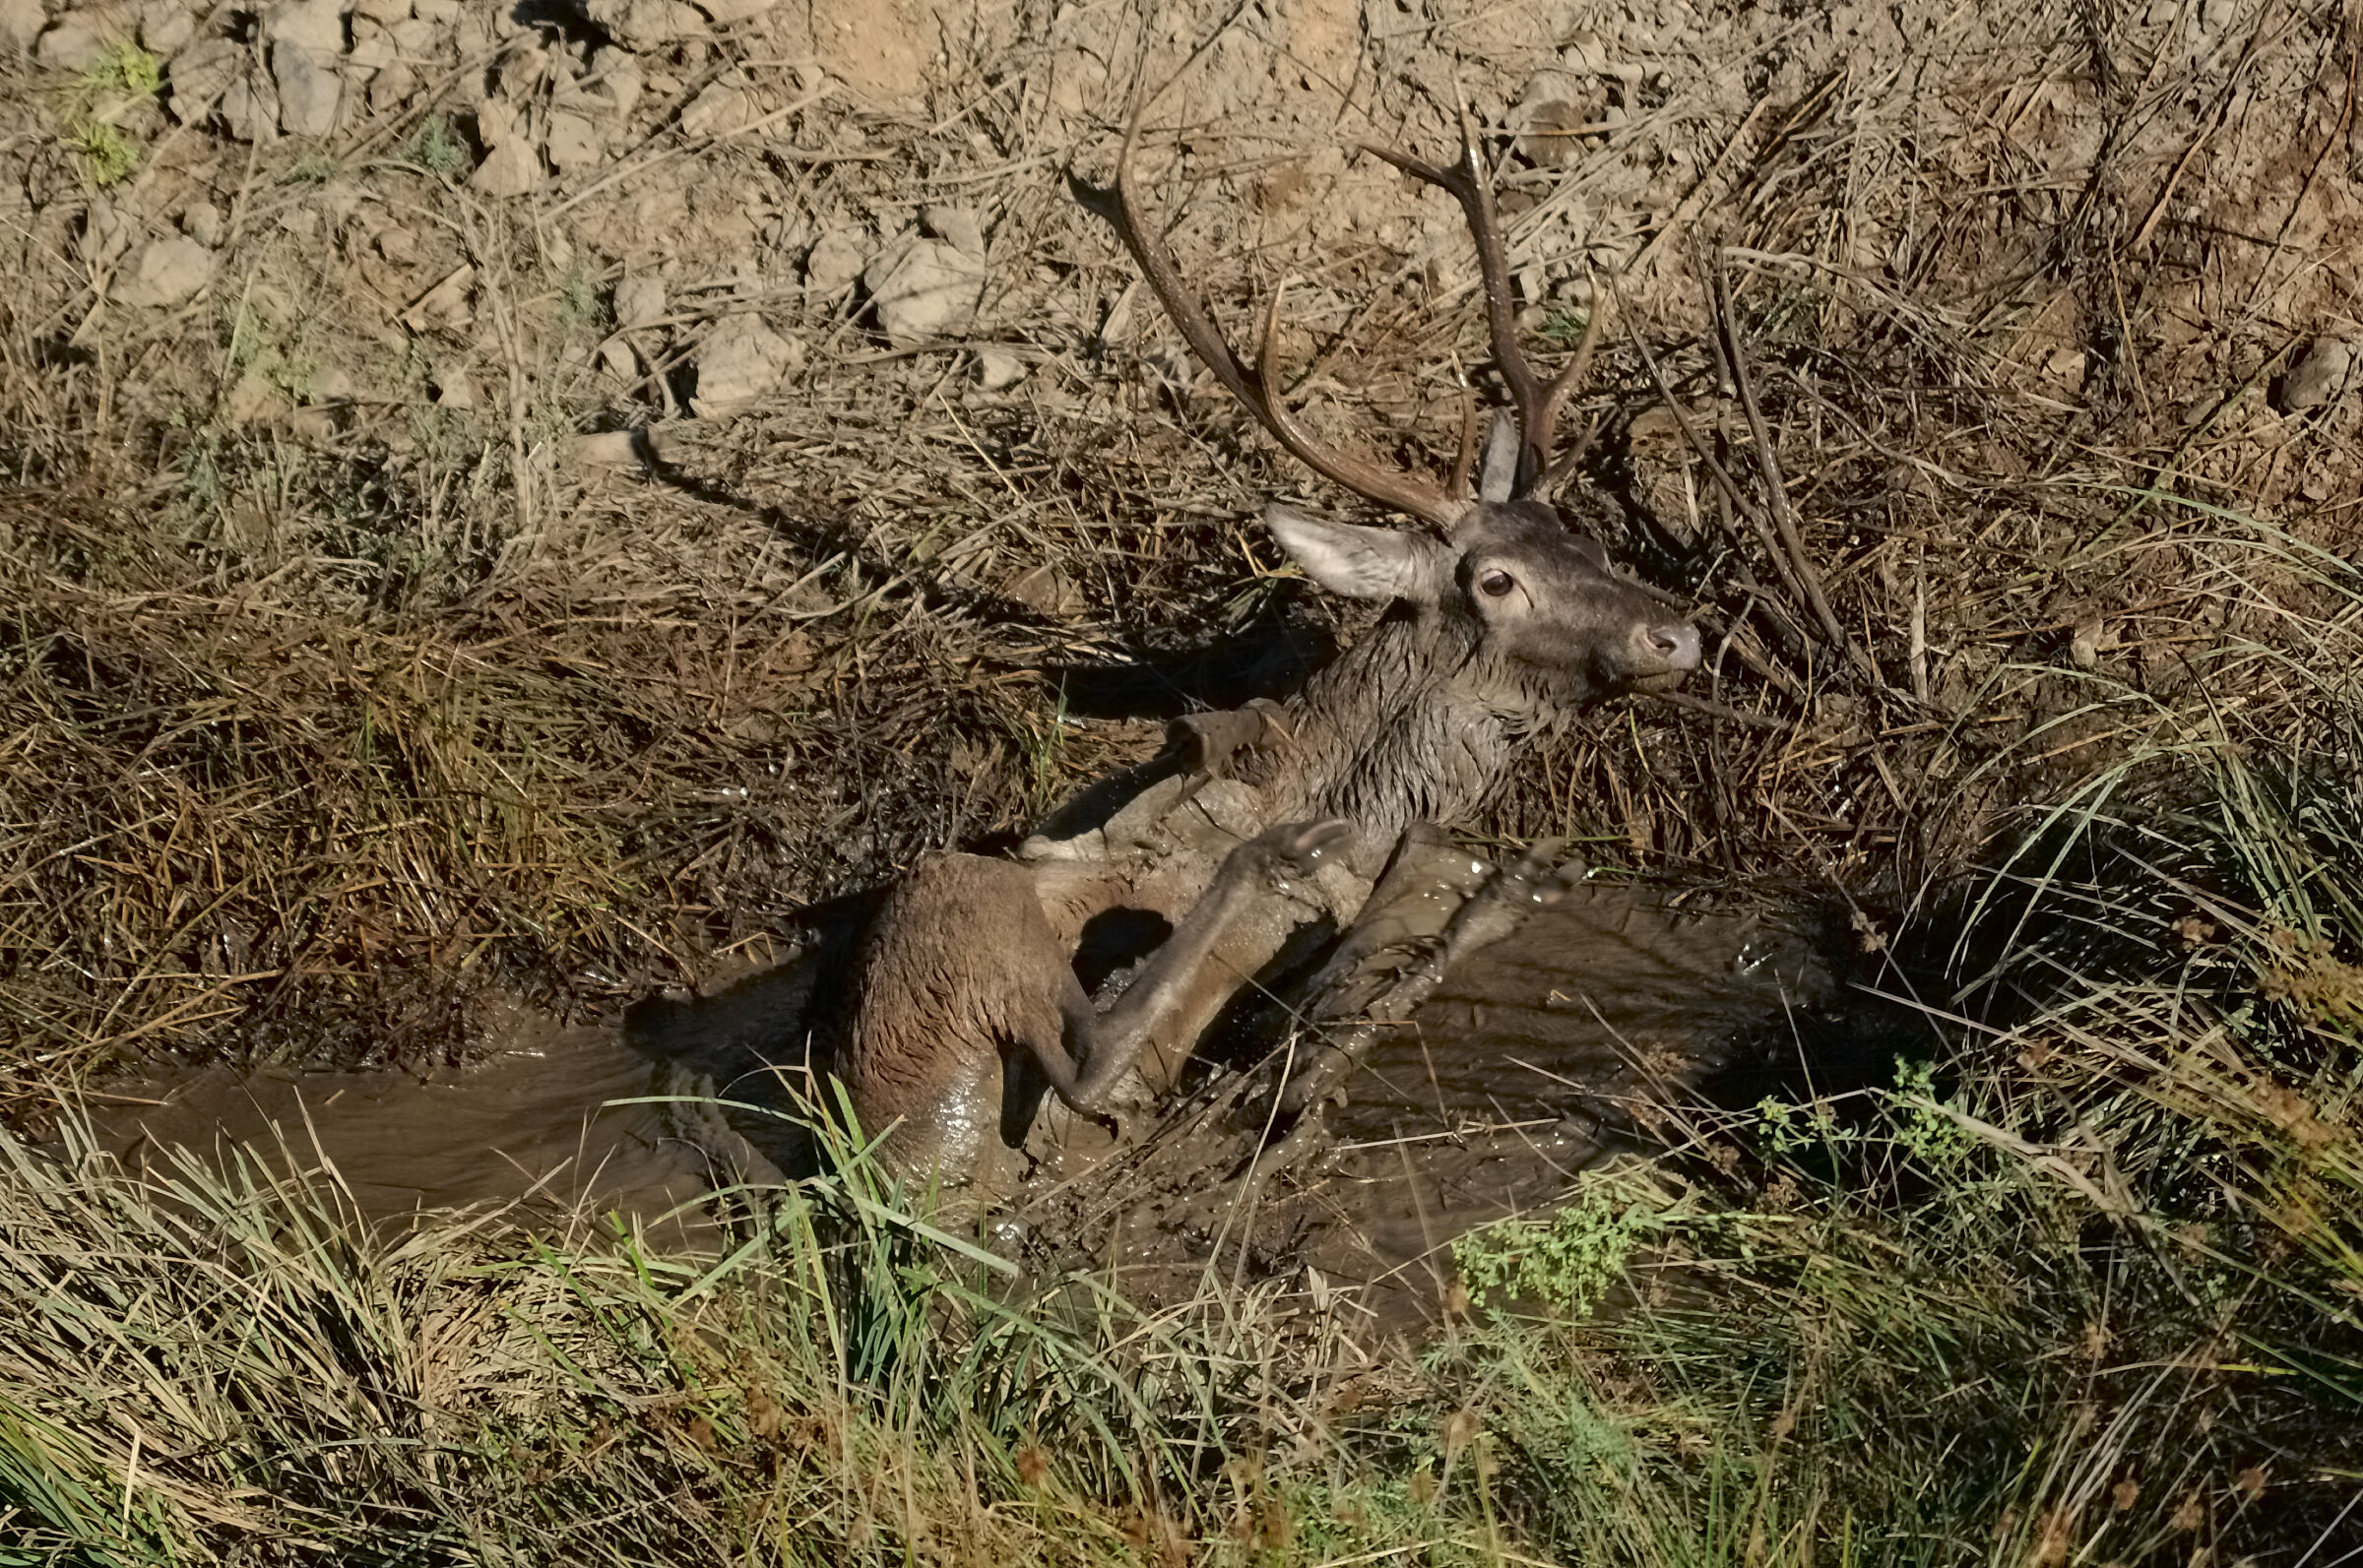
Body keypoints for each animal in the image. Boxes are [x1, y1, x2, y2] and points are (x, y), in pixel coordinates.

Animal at [798, 116, 1703, 1186]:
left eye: (1589, 544)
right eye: (1495, 581)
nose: (1677, 632)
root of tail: (911, 1161)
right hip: (954, 906)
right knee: (1091, 1062)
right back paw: (1297, 868)